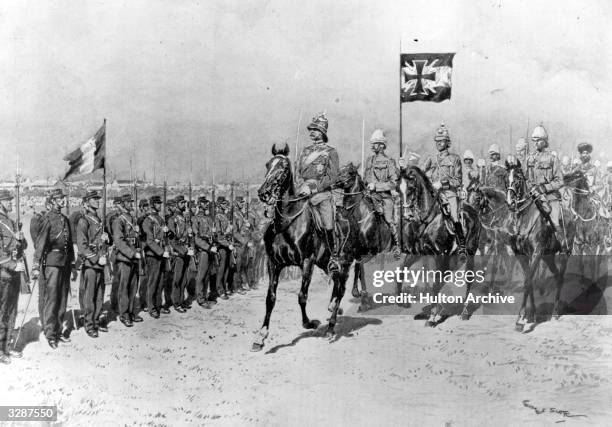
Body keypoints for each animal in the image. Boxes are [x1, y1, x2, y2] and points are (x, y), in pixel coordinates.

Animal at [252, 144, 350, 352]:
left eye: (283, 168)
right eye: (268, 164)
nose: (264, 193)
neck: (286, 223)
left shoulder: (307, 262)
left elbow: (302, 296)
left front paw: (310, 323)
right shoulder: (273, 264)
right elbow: (270, 298)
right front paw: (261, 336)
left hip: (343, 263)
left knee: (341, 288)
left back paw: (331, 327)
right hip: (325, 264)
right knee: (337, 286)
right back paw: (332, 312)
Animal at [396, 166, 482, 326]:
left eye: (410, 188)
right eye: (398, 188)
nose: (407, 215)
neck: (427, 220)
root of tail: (473, 212)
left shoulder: (438, 255)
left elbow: (435, 283)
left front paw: (432, 316)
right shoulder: (419, 253)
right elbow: (403, 273)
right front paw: (402, 302)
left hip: (470, 253)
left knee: (468, 279)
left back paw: (464, 312)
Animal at [506, 158, 572, 334]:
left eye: (518, 178)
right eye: (506, 178)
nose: (510, 202)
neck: (524, 217)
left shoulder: (536, 252)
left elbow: (527, 282)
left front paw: (520, 320)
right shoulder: (522, 255)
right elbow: (529, 281)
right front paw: (532, 316)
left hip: (564, 253)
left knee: (561, 278)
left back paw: (555, 313)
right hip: (548, 257)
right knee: (555, 275)